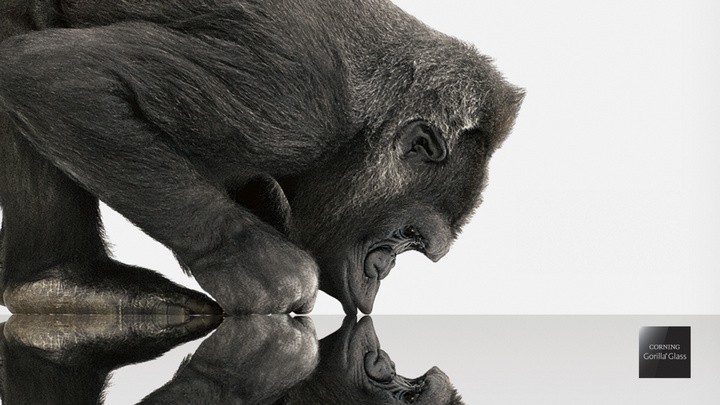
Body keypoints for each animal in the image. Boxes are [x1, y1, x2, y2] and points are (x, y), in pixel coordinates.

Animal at [0, 0, 524, 315]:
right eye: (408, 236)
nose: (381, 271)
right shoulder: (297, 96)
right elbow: (61, 78)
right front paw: (258, 270)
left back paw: (61, 279)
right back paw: (66, 279)